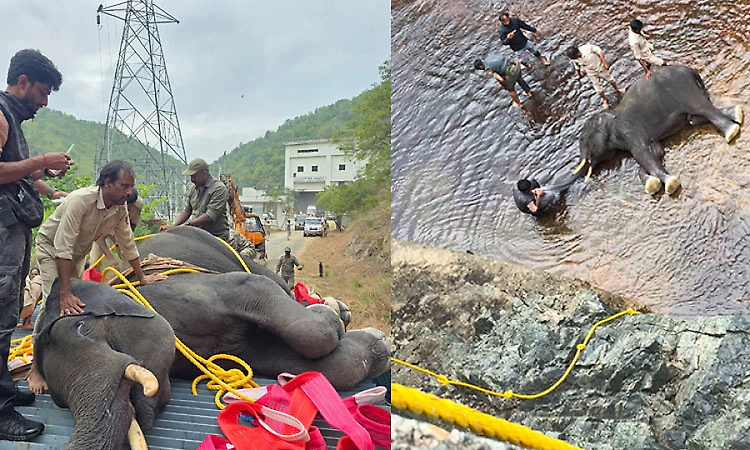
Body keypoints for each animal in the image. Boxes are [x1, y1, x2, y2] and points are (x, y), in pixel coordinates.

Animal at [573, 65, 743, 194]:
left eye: (582, 139)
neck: (610, 116)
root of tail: (689, 70)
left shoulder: (630, 132)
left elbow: (642, 154)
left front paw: (671, 185)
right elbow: (655, 152)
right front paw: (652, 185)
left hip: (686, 92)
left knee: (703, 109)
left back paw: (731, 131)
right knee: (695, 118)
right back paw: (737, 113)